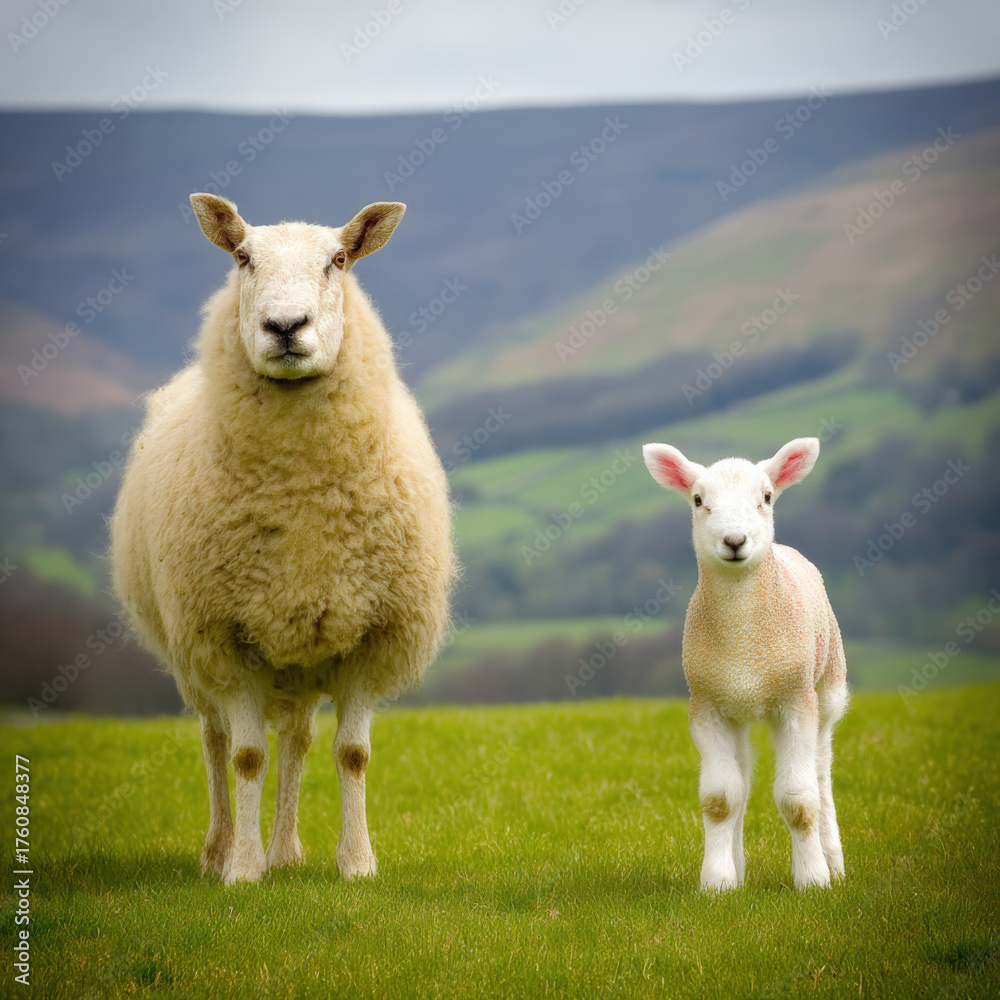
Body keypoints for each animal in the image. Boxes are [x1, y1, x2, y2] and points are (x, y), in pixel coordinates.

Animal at [110, 193, 455, 884]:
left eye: (339, 260)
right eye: (242, 257)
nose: (286, 326)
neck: (300, 497)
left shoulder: (370, 634)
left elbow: (352, 754)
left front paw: (356, 864)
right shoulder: (224, 633)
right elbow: (245, 757)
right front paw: (243, 871)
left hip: (299, 646)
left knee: (296, 738)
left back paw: (288, 850)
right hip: (194, 650)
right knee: (214, 739)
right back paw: (219, 848)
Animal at [642, 437, 848, 890]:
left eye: (766, 497)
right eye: (698, 500)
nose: (735, 540)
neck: (746, 649)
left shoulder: (796, 701)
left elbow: (799, 799)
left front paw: (813, 880)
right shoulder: (707, 706)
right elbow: (721, 799)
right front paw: (718, 882)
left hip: (827, 688)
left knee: (821, 774)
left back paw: (834, 862)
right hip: (737, 712)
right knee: (742, 779)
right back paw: (737, 867)